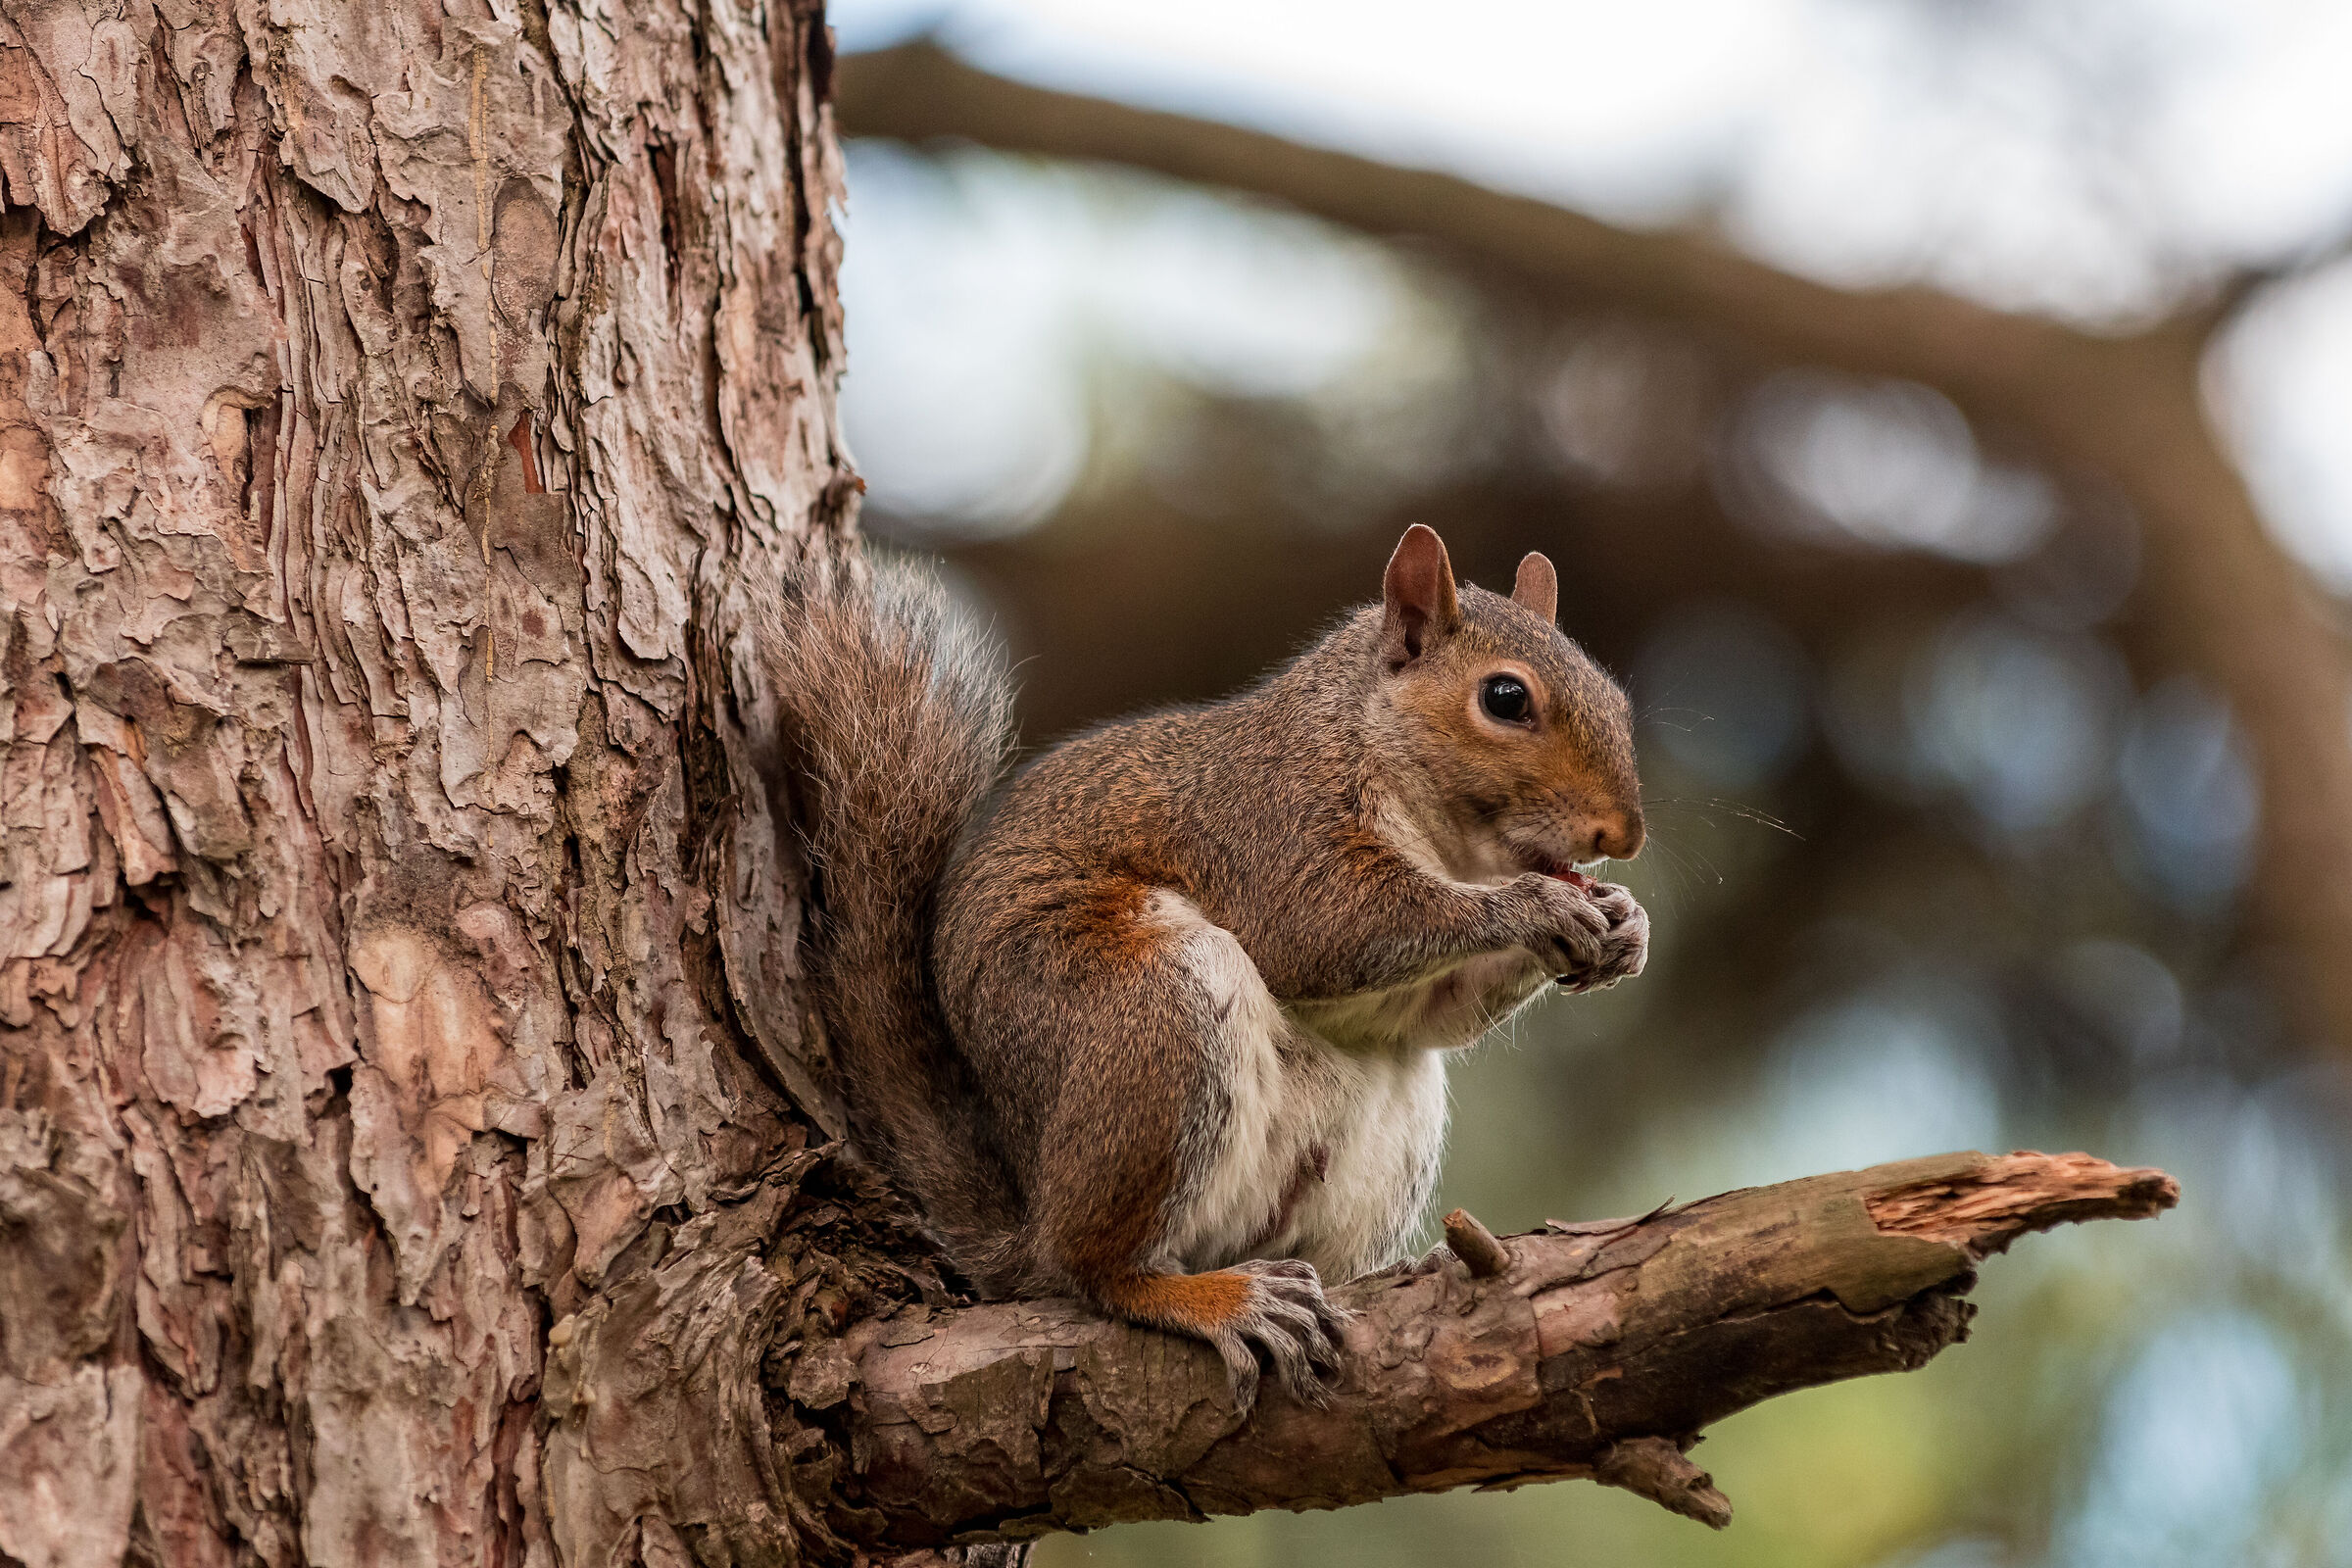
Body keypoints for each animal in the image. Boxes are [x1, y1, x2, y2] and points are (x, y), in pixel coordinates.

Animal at [763, 523, 1648, 1410]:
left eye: (1615, 696)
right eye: (1505, 698)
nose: (1625, 835)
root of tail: (1031, 1213)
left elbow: (1433, 1011)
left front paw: (1626, 924)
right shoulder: (1270, 827)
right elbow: (1332, 929)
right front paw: (1535, 905)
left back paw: (1402, 1270)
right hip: (1154, 1016)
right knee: (1090, 1269)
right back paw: (1213, 1298)